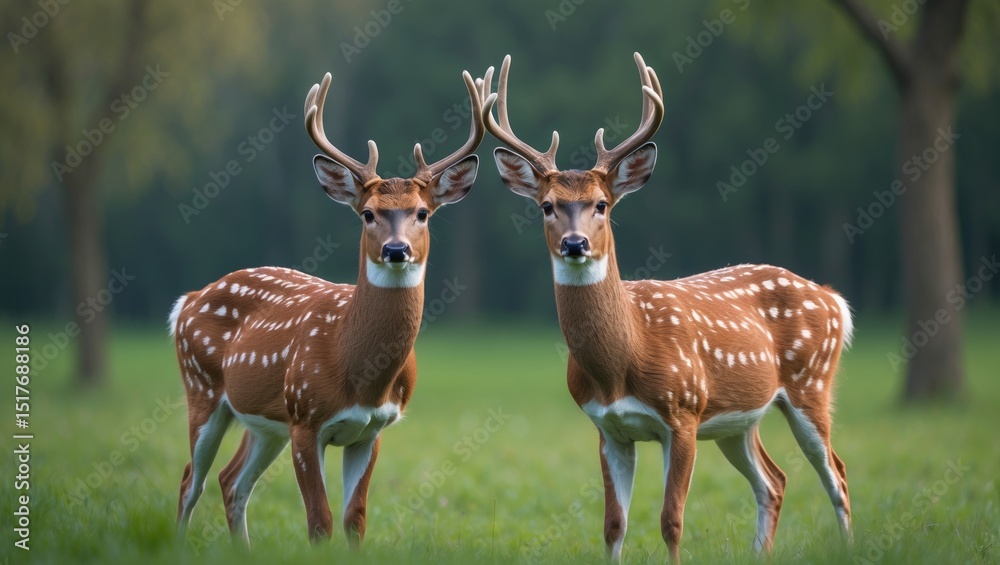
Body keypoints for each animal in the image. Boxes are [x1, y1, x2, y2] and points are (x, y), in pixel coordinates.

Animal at [169, 68, 496, 547]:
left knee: (231, 481)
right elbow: (319, 521)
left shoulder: (372, 429)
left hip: (263, 420)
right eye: (367, 213)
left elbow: (354, 519)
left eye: (422, 213)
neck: (356, 371)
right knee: (190, 480)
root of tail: (187, 301)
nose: (396, 250)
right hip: (204, 388)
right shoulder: (305, 419)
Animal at [478, 53, 853, 562]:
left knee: (837, 475)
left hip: (810, 384)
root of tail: (833, 298)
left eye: (602, 204)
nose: (575, 244)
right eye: (547, 206)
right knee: (774, 481)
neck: (623, 359)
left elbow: (671, 521)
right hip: (740, 420)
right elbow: (614, 524)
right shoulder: (609, 428)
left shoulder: (684, 413)